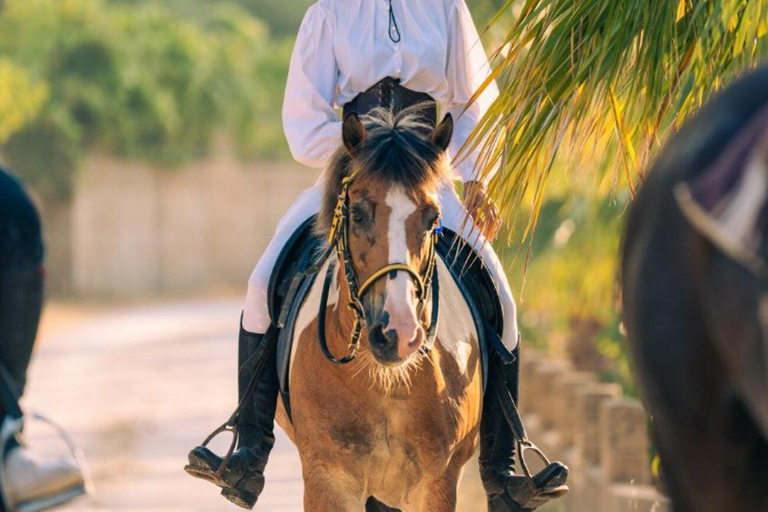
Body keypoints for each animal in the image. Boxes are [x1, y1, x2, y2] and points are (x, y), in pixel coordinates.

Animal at [274, 110, 484, 512]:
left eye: (433, 218)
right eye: (357, 214)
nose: (398, 333)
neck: (383, 383)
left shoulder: (436, 484)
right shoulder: (328, 480)